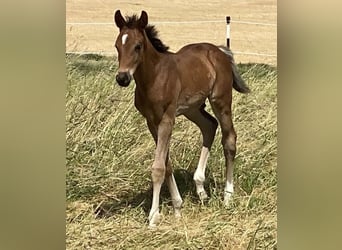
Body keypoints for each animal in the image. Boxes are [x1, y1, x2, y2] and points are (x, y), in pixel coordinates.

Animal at [113, 9, 250, 227]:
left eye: (138, 46)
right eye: (117, 45)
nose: (122, 78)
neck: (154, 78)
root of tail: (220, 51)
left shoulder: (167, 119)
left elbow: (158, 167)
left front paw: (153, 217)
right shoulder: (151, 121)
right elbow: (166, 164)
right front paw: (177, 207)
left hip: (220, 100)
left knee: (229, 139)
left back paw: (228, 196)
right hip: (192, 108)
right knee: (209, 126)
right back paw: (200, 188)